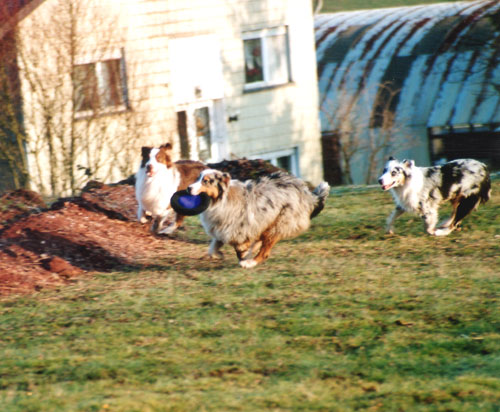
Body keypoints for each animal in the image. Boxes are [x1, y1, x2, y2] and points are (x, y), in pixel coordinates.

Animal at [187, 169, 328, 268]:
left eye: (206, 181)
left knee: (265, 252)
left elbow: (240, 250)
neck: (222, 199)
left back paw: (250, 263)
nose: (188, 188)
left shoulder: (239, 230)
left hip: (279, 223)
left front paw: (244, 257)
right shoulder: (222, 229)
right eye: (198, 178)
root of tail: (307, 193)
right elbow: (212, 247)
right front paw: (218, 254)